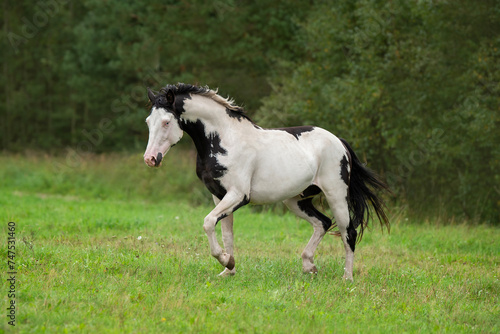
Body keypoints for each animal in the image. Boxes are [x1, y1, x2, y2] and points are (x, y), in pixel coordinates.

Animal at [143, 83, 388, 280]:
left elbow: (208, 222)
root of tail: (339, 141)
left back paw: (347, 278)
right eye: (148, 121)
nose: (150, 159)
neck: (225, 139)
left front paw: (225, 260)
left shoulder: (238, 195)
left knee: (349, 233)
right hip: (296, 200)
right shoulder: (219, 196)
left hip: (336, 195)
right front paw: (229, 269)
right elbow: (226, 233)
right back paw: (309, 266)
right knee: (323, 223)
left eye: (166, 122)